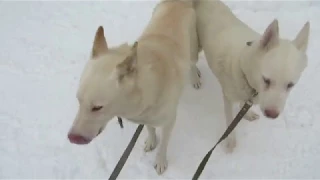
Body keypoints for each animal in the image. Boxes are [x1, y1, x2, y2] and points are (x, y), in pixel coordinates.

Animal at [67, 0, 200, 174]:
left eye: (97, 107)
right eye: (78, 100)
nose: (72, 138)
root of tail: (178, 2)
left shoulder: (169, 121)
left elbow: (164, 144)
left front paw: (160, 161)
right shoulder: (145, 116)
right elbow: (150, 128)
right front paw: (151, 140)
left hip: (193, 49)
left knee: (192, 63)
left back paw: (195, 77)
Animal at [192, 0, 310, 152]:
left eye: (290, 85)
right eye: (266, 80)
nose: (272, 114)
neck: (243, 68)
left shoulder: (248, 95)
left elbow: (243, 105)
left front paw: (247, 114)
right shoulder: (228, 97)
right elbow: (230, 122)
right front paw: (230, 141)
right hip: (195, 45)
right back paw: (194, 77)